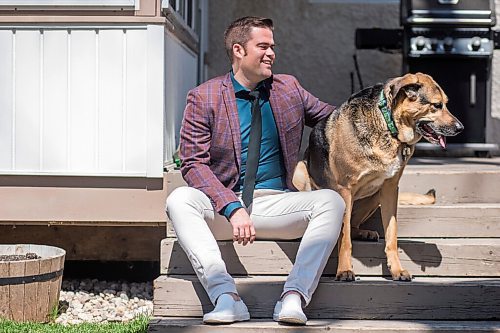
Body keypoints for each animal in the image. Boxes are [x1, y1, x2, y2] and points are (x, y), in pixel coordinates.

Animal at [292, 72, 464, 280]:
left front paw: (396, 269)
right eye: (436, 105)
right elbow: (344, 239)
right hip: (300, 172)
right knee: (346, 227)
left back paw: (363, 233)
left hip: (375, 196)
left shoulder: (390, 189)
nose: (461, 128)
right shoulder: (344, 190)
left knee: (353, 225)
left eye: (446, 103)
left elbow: (391, 235)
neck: (389, 126)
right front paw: (345, 269)